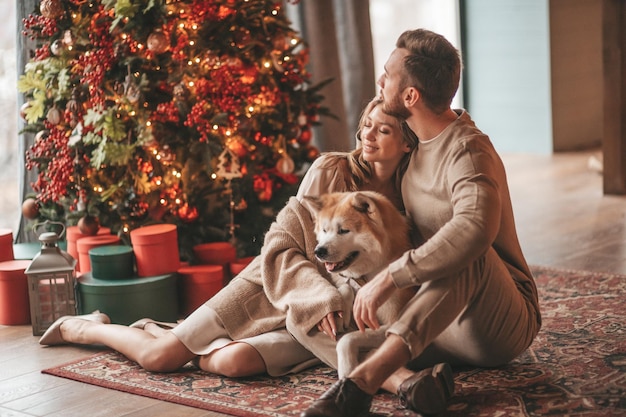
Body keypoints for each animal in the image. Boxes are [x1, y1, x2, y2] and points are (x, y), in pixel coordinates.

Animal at [304, 191, 414, 376]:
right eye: (325, 230)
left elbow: (347, 339)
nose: (318, 251)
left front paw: (346, 371)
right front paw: (342, 311)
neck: (366, 277)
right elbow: (345, 286)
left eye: (343, 230)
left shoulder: (392, 322)